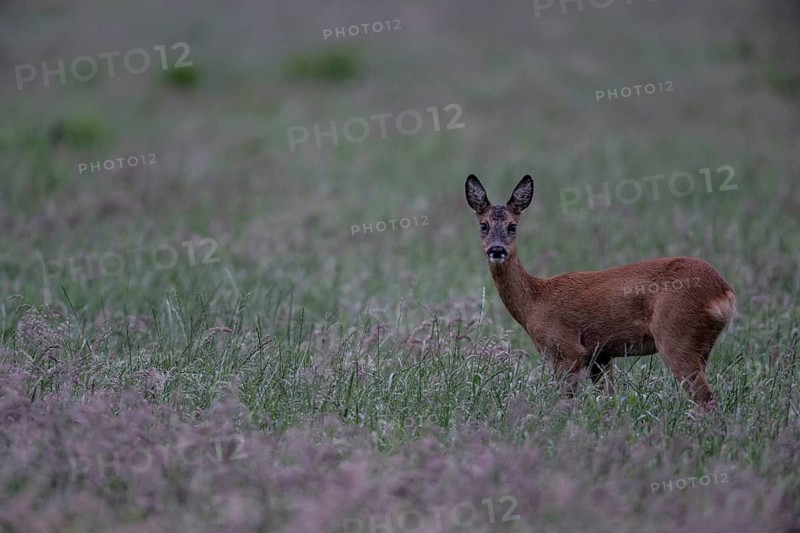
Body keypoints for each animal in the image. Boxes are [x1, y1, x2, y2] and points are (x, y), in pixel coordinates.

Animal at [465, 174, 736, 408]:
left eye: (512, 226)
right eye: (483, 225)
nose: (497, 250)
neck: (534, 302)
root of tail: (724, 293)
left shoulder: (566, 348)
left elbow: (565, 402)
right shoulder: (600, 356)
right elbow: (610, 401)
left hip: (676, 335)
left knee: (707, 400)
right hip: (700, 345)